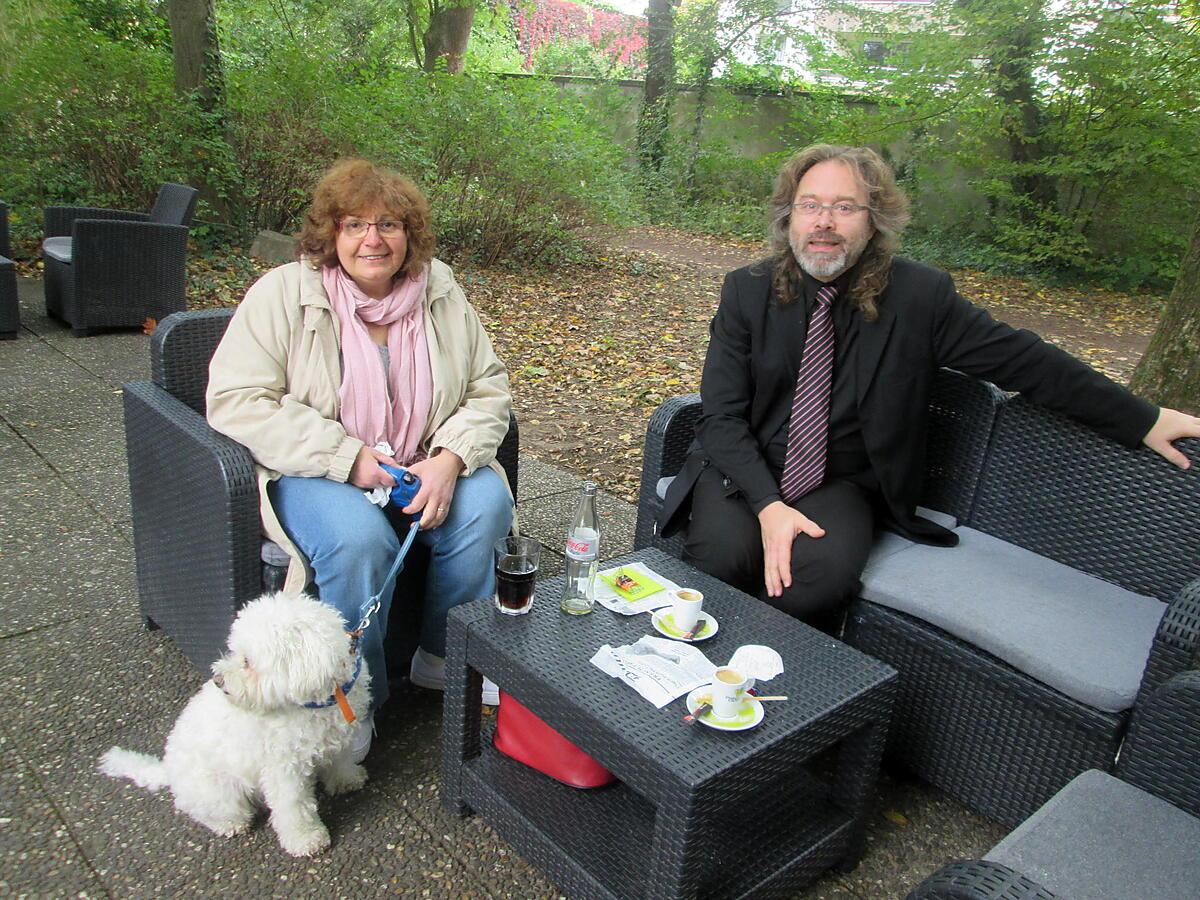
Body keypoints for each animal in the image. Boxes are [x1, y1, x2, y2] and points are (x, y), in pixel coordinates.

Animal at [99, 595, 369, 854]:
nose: (218, 680)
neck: (317, 703)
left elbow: (341, 763)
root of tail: (168, 770)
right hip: (219, 791)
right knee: (201, 809)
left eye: (247, 661)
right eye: (235, 652)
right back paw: (229, 824)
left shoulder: (340, 738)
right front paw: (305, 839)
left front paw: (347, 780)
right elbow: (294, 806)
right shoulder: (283, 769)